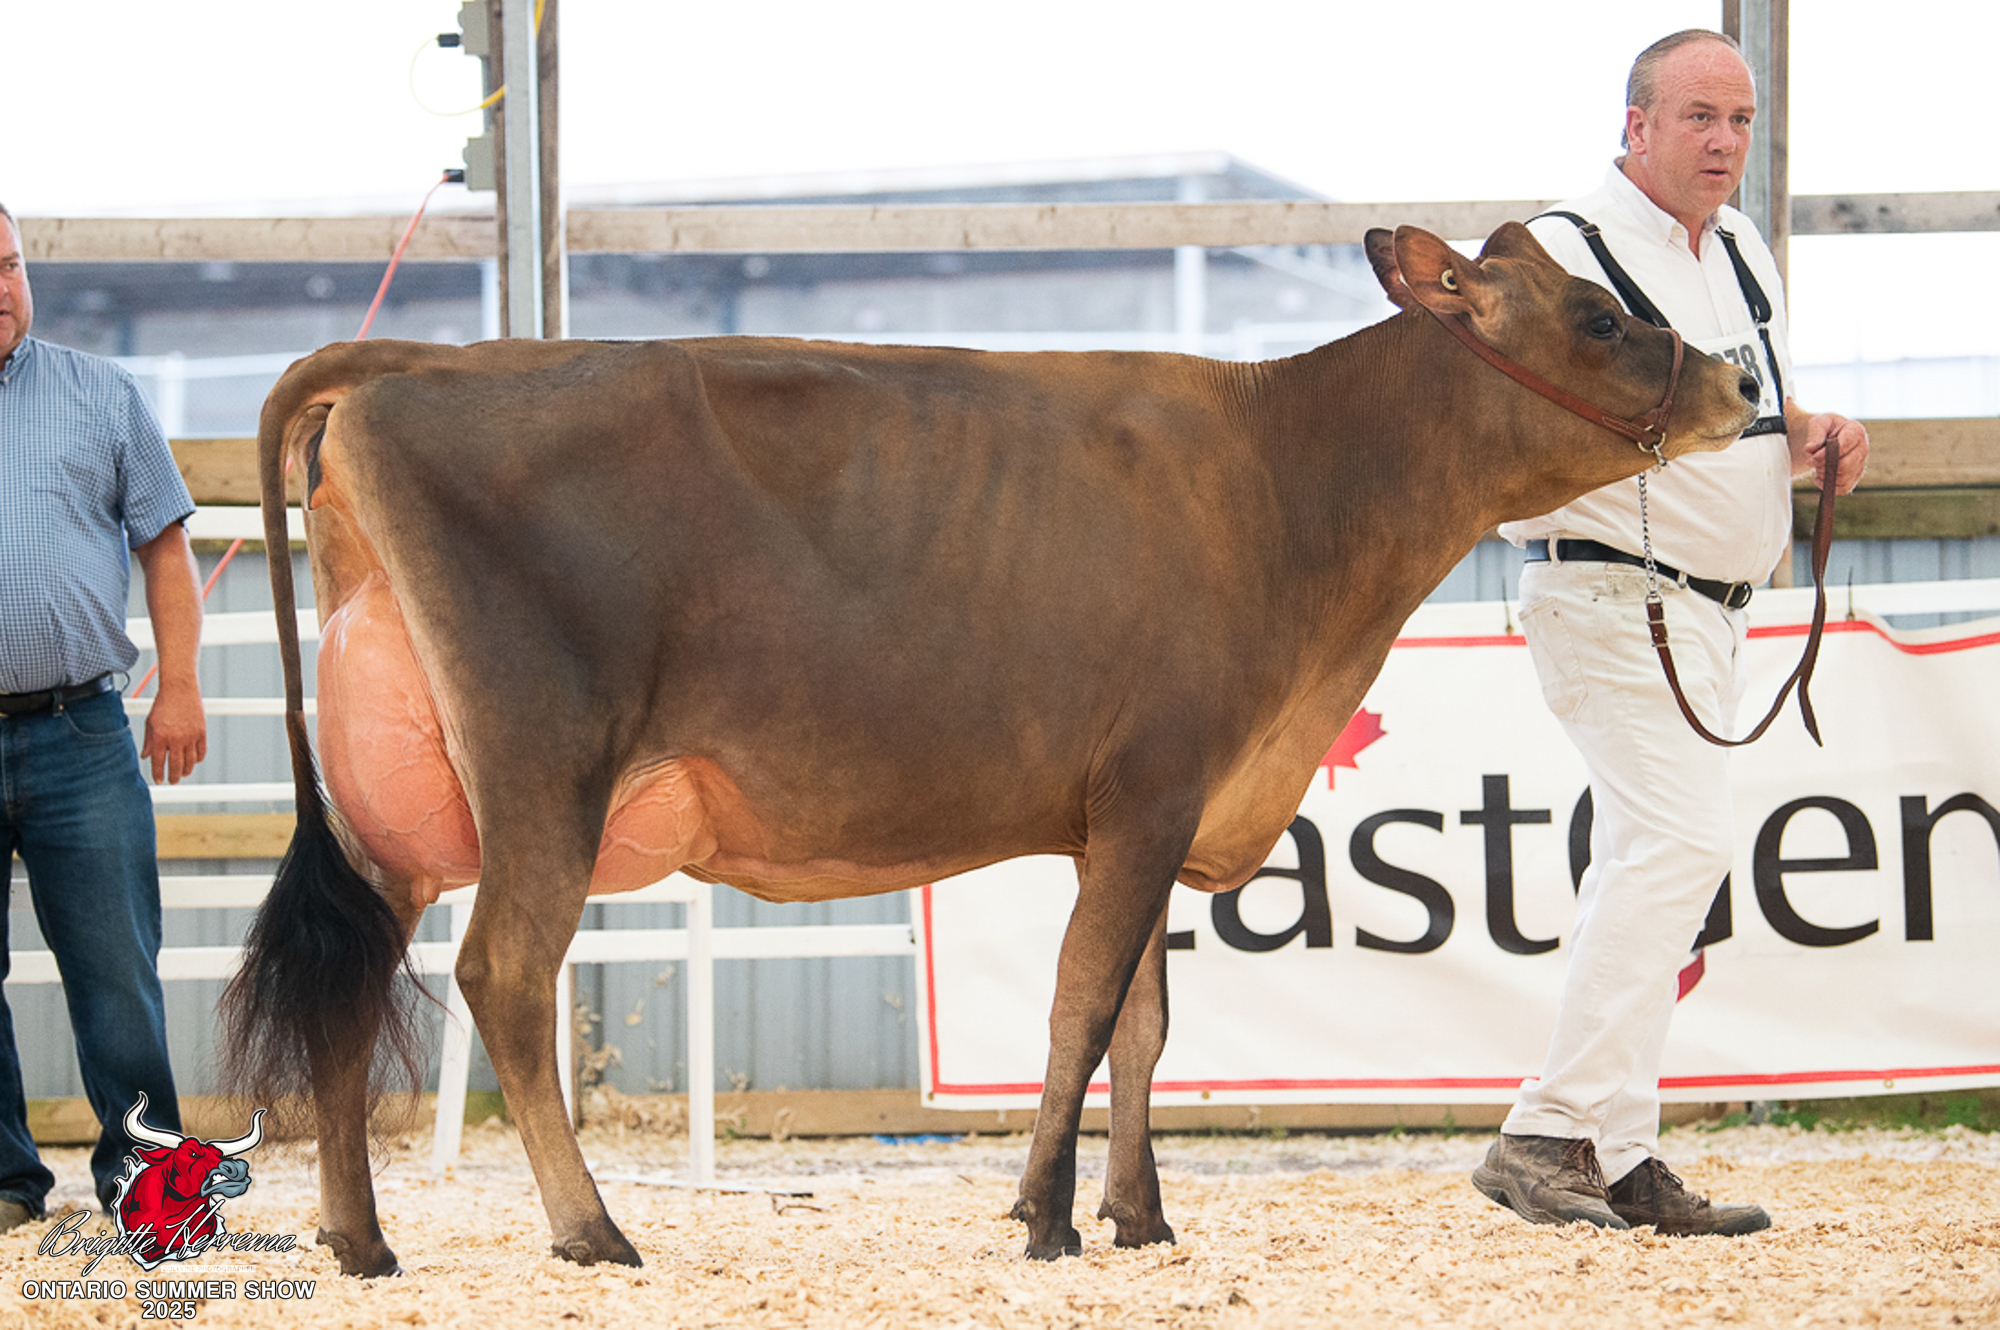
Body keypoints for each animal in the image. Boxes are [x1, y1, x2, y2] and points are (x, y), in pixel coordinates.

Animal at [221, 223, 1759, 1276]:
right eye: (1602, 315)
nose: (1742, 382)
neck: (1289, 480)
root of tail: (430, 365)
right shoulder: (1151, 786)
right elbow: (1083, 1005)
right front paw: (1044, 1215)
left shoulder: (1156, 806)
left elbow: (1144, 1022)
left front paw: (1139, 1215)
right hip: (546, 761)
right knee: (502, 973)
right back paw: (590, 1229)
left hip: (398, 798)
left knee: (353, 976)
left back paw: (360, 1241)